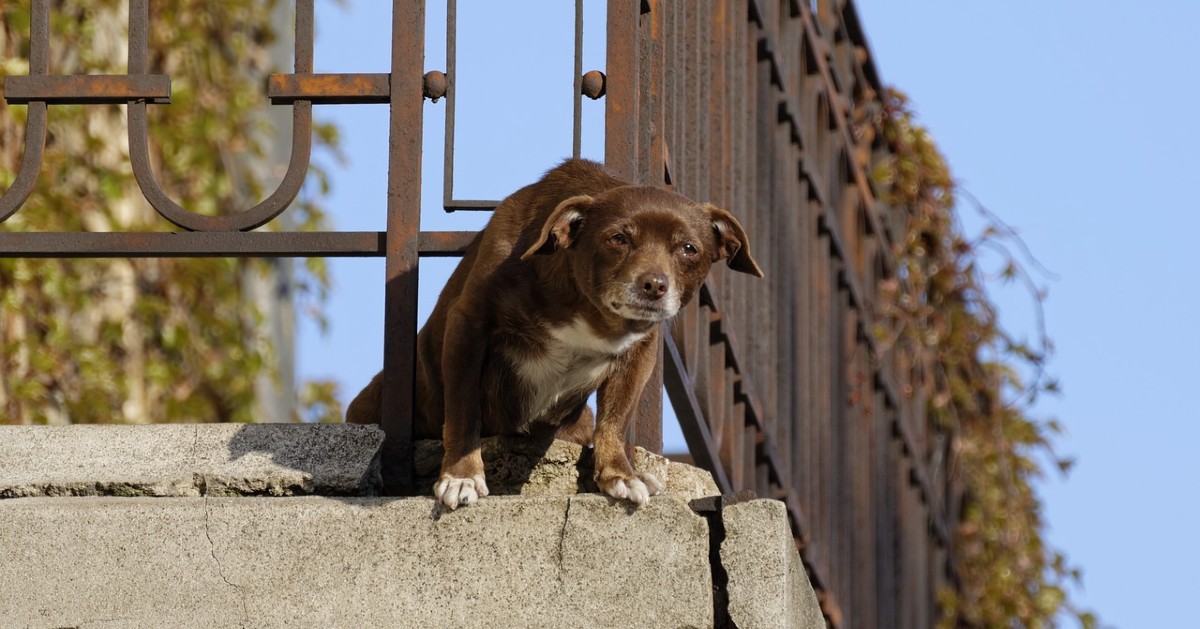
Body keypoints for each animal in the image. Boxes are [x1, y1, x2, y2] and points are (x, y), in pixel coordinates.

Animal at [345, 158, 758, 511]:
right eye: (618, 238)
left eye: (689, 249)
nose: (654, 285)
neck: (591, 311)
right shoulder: (468, 325)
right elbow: (464, 409)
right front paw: (462, 476)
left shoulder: (640, 352)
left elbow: (615, 418)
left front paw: (620, 474)